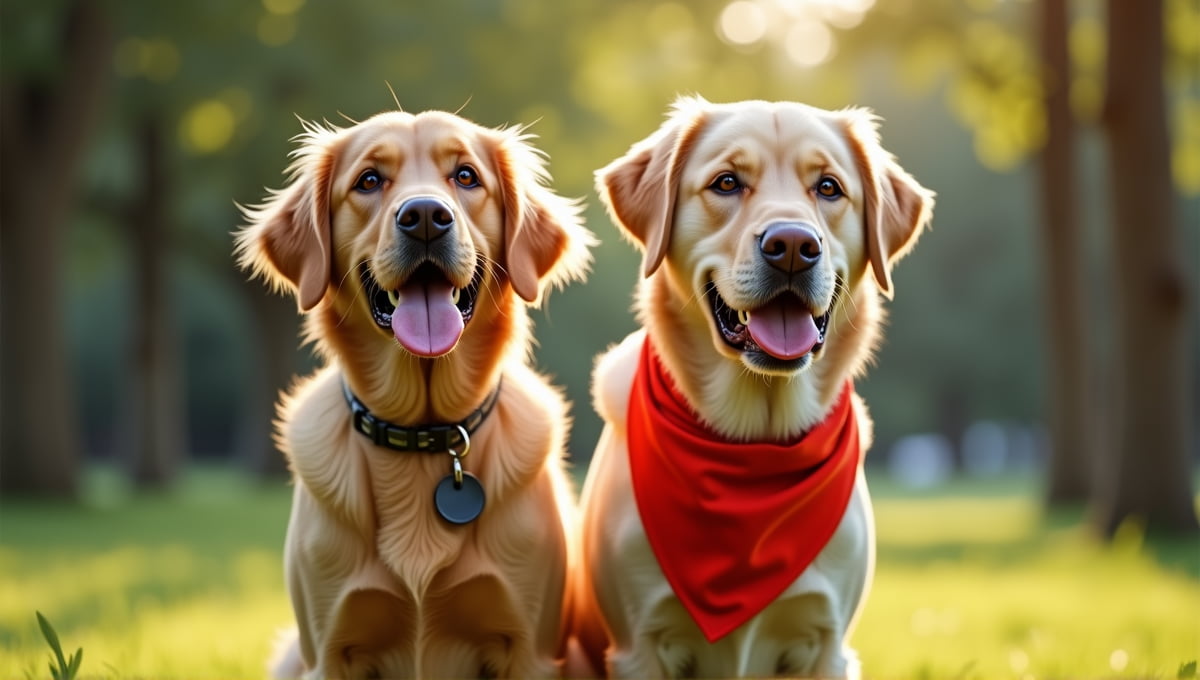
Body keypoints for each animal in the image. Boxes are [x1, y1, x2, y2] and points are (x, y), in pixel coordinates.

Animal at [236, 111, 592, 680]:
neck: (425, 436)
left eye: (466, 176)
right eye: (368, 180)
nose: (425, 216)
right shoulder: (328, 650)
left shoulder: (530, 649)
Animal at [573, 97, 936, 680]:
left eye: (829, 187)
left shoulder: (829, 645)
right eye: (726, 182)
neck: (754, 446)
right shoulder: (639, 646)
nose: (792, 245)